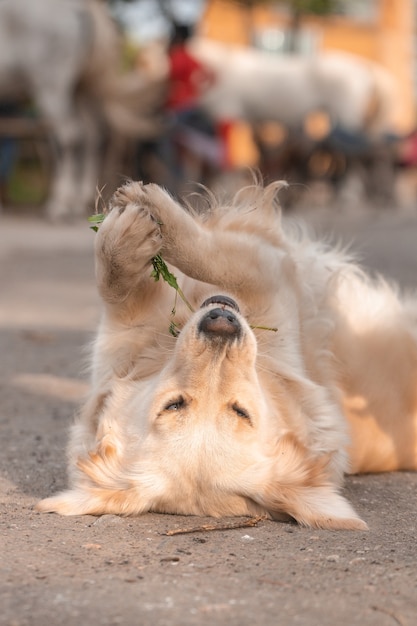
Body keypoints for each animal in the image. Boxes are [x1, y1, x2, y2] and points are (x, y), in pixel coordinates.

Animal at [35, 179, 416, 528]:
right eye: (173, 404)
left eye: (240, 411)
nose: (221, 325)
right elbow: (130, 285)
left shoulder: (268, 278)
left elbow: (186, 263)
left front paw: (146, 221)